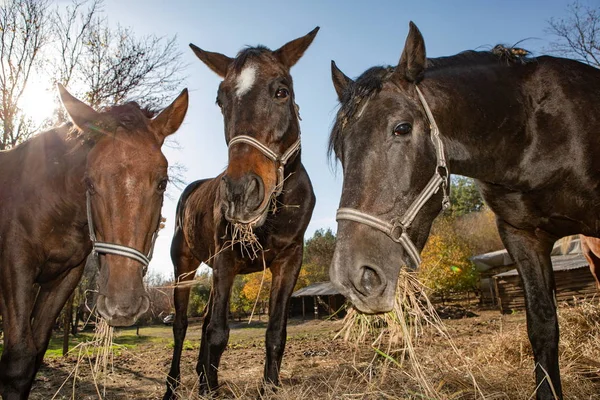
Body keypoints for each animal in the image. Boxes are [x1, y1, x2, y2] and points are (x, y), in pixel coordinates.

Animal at [0, 83, 188, 398]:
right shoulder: (15, 268)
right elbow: (17, 361)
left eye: (162, 183)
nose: (122, 304)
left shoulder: (64, 278)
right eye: (89, 182)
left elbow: (35, 353)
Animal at [159, 27, 318, 396]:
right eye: (221, 100)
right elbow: (218, 333)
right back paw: (174, 385)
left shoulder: (289, 261)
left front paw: (268, 387)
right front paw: (209, 389)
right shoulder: (226, 260)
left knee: (202, 321)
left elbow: (275, 332)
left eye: (281, 91)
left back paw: (203, 375)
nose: (240, 193)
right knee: (182, 325)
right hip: (185, 267)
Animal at [328, 22, 600, 400]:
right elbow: (543, 328)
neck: (529, 130)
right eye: (341, 150)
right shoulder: (522, 237)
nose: (353, 276)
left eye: (401, 128)